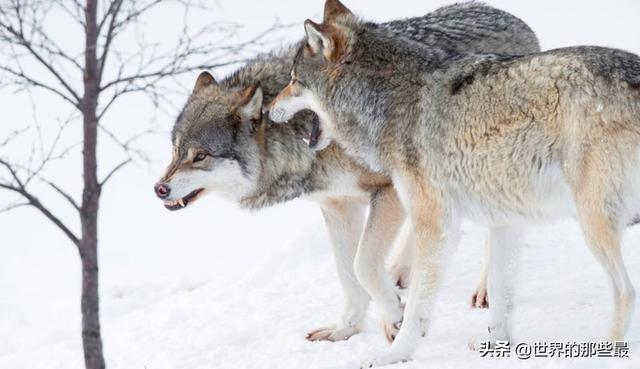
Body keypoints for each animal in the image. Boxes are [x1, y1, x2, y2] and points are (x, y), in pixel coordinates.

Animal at [155, 0, 540, 342]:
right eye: (175, 150)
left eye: (201, 156)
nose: (159, 189)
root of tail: (513, 18)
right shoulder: (338, 205)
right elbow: (348, 274)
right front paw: (346, 330)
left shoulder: (387, 191)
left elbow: (362, 265)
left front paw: (395, 317)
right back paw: (401, 271)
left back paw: (482, 289)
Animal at [268, 0, 640, 364]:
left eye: (293, 80)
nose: (269, 110)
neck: (387, 94)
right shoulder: (505, 221)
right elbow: (501, 298)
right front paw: (498, 347)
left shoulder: (434, 225)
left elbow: (409, 303)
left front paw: (396, 352)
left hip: (592, 222)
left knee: (626, 291)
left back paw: (606, 349)